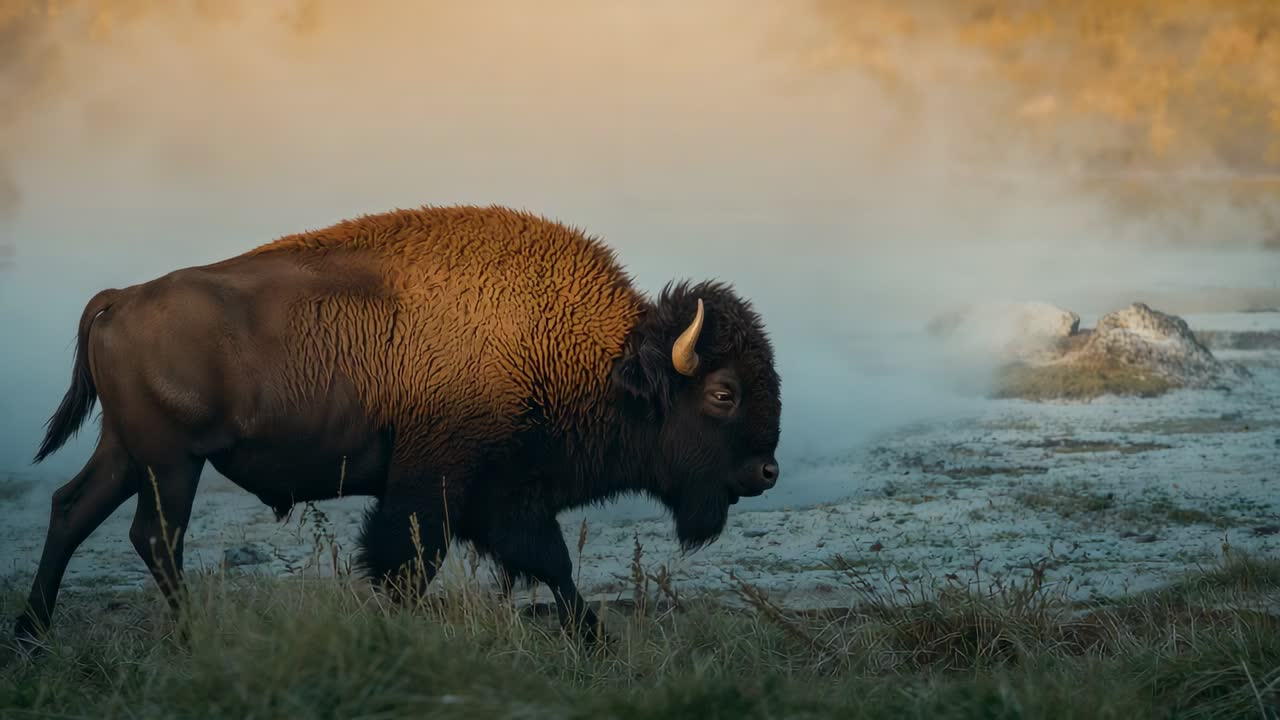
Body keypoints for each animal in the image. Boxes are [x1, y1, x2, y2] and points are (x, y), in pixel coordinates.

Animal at [14, 204, 782, 648]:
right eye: (722, 392)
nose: (766, 471)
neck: (593, 358)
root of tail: (120, 299)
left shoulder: (502, 497)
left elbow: (550, 564)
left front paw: (593, 639)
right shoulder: (437, 486)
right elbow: (413, 562)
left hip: (127, 454)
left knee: (73, 510)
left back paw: (31, 635)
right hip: (171, 463)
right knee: (155, 537)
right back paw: (188, 635)